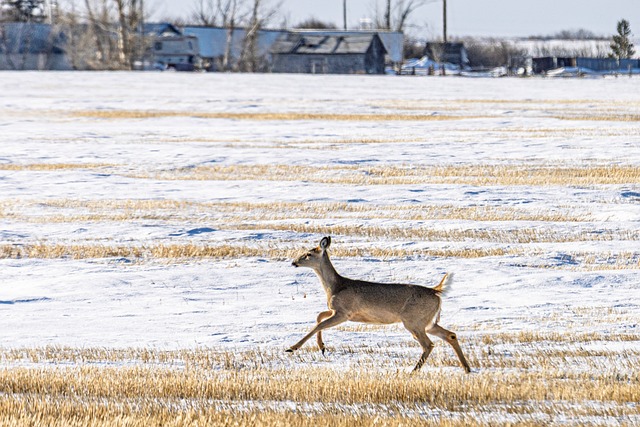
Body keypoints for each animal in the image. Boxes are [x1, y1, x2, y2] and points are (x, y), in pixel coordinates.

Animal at [286, 236, 472, 373]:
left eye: (308, 254)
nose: (294, 262)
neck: (335, 286)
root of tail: (436, 291)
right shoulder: (337, 311)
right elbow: (319, 317)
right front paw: (322, 347)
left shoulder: (344, 312)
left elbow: (319, 324)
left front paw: (293, 348)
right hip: (428, 321)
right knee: (450, 335)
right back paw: (467, 368)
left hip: (413, 321)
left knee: (429, 344)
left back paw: (414, 370)